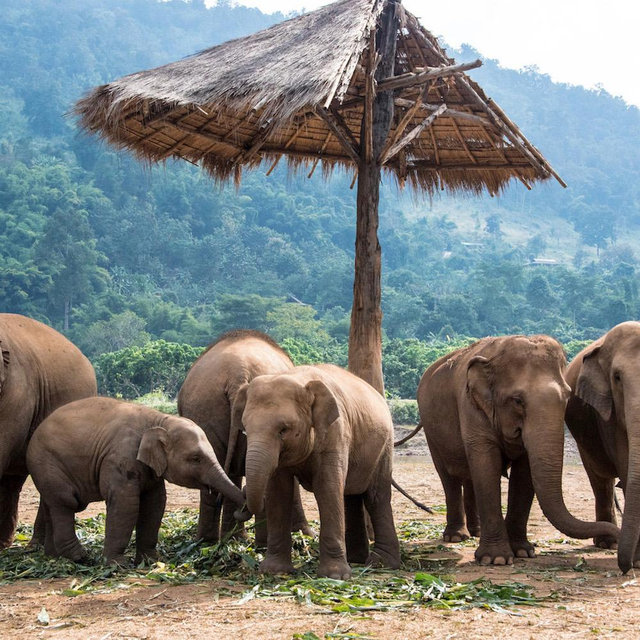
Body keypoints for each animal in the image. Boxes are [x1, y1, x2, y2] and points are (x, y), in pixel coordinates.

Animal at [26, 397, 245, 564]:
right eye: (196, 458)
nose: (243, 502)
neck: (160, 420)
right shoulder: (121, 460)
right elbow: (125, 505)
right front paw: (116, 564)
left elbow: (155, 503)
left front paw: (151, 561)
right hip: (47, 463)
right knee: (65, 502)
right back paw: (81, 557)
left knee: (50, 503)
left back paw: (54, 557)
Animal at [233, 363, 400, 580]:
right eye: (245, 428)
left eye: (283, 430)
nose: (244, 498)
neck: (299, 378)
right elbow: (279, 492)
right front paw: (274, 571)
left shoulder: (335, 432)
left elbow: (327, 487)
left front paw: (335, 576)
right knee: (350, 496)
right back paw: (355, 558)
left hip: (385, 446)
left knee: (376, 497)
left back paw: (381, 563)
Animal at [417, 334, 619, 566]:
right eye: (517, 400)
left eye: (567, 397)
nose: (618, 537)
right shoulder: (470, 407)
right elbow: (486, 466)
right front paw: (496, 559)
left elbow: (523, 473)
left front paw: (523, 552)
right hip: (431, 431)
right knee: (448, 477)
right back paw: (456, 537)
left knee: (469, 477)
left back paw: (476, 532)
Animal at [565, 321, 640, 573]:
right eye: (616, 377)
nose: (626, 568)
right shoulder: (607, 413)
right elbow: (626, 463)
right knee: (600, 481)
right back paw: (607, 543)